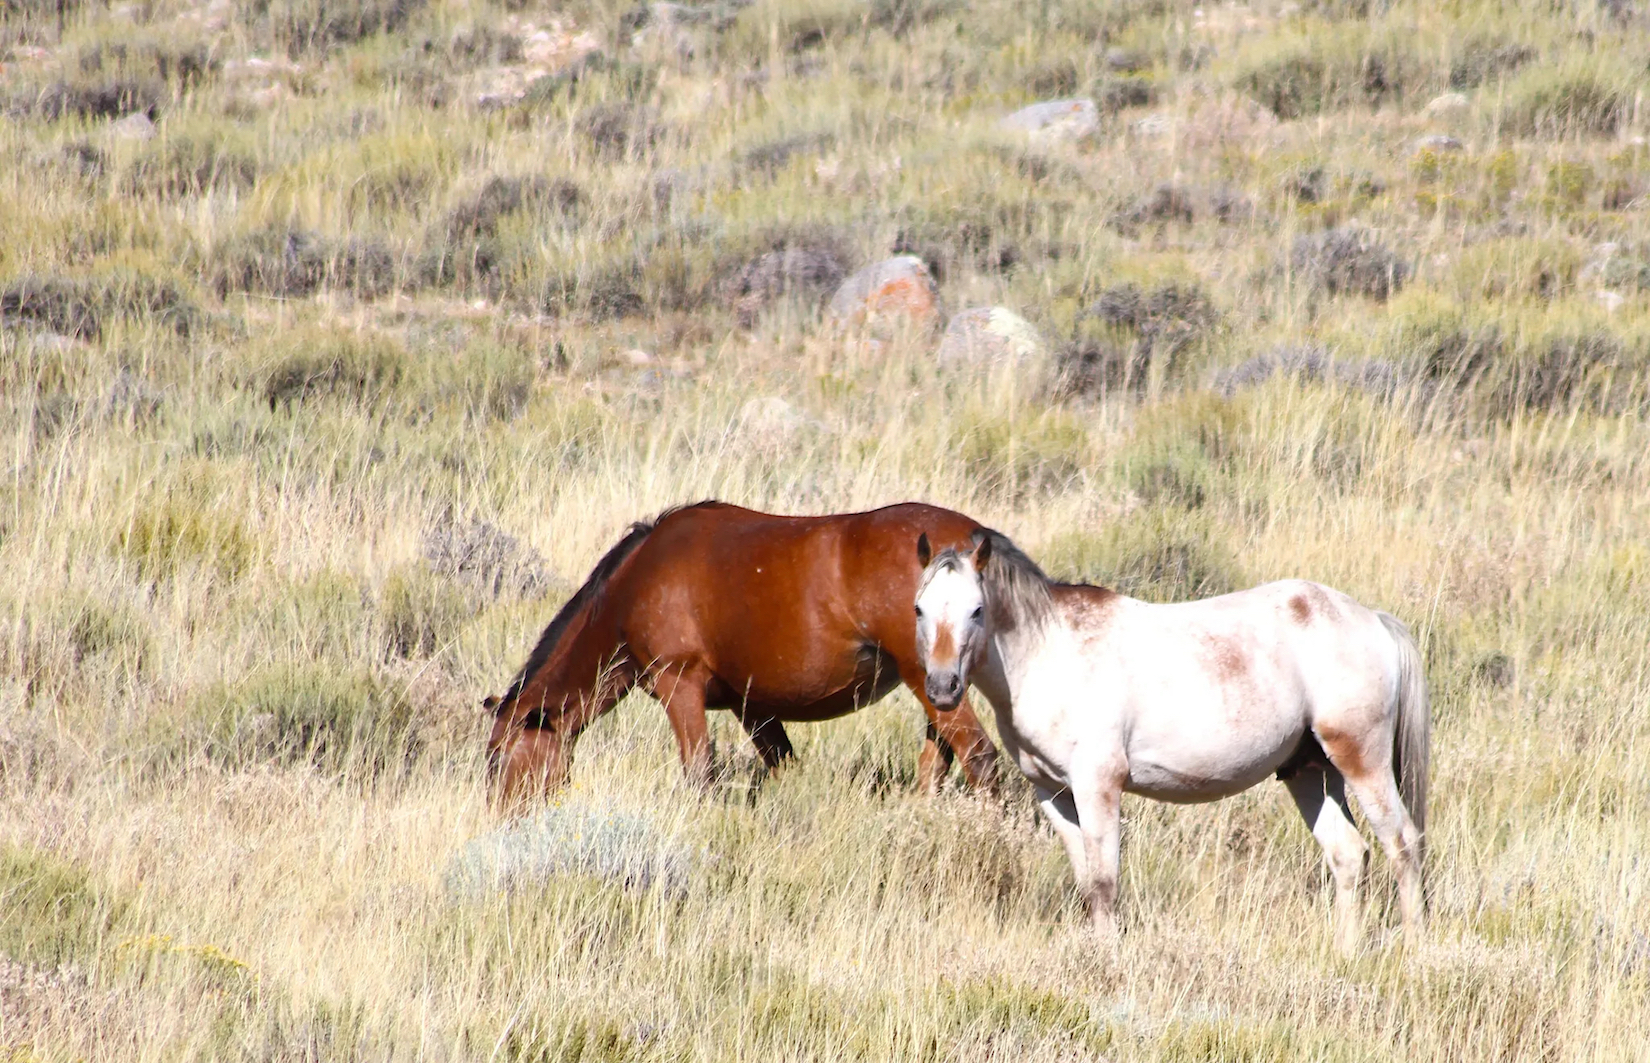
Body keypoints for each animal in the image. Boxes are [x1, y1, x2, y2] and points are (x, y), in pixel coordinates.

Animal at [485, 501, 1003, 802]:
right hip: (936, 690)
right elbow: (784, 768)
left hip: (928, 682)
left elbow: (699, 774)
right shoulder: (752, 706)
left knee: (980, 758)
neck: (633, 585)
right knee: (939, 763)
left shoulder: (679, 686)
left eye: (500, 759)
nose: (500, 821)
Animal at [917, 531, 1432, 957]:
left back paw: (1415, 949)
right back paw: (1345, 953)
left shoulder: (1098, 786)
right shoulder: (1054, 793)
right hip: (1309, 773)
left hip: (1361, 761)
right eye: (920, 608)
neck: (1050, 652)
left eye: (976, 610)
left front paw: (1107, 961)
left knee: (1402, 844)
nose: (942, 688)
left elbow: (1104, 882)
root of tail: (1373, 620)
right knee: (1349, 854)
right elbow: (1086, 882)